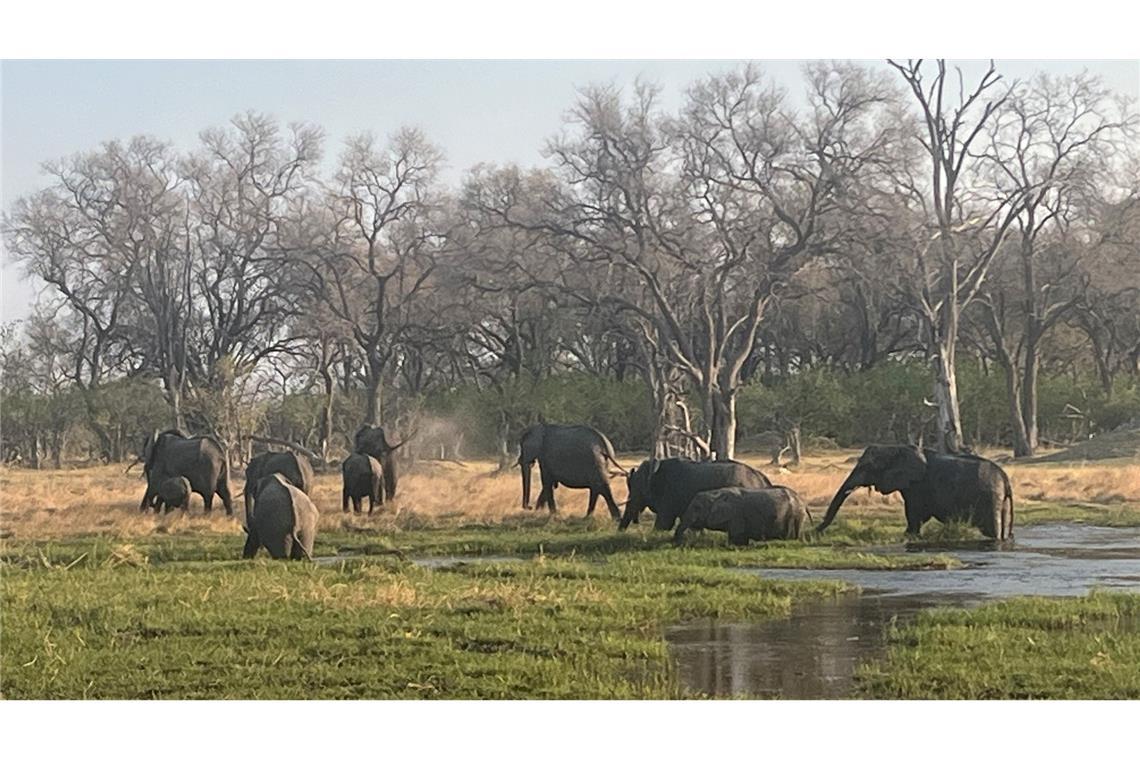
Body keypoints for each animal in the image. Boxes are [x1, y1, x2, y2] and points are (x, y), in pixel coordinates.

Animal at [674, 487, 811, 546]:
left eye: (697, 508)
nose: (676, 543)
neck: (715, 493)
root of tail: (803, 502)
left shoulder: (736, 515)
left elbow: (736, 535)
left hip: (795, 516)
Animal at [820, 442, 1016, 544]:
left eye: (868, 466)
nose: (816, 532)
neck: (896, 448)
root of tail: (1006, 479)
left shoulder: (917, 486)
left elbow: (915, 515)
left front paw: (909, 536)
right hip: (1001, 501)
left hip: (990, 498)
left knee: (992, 529)